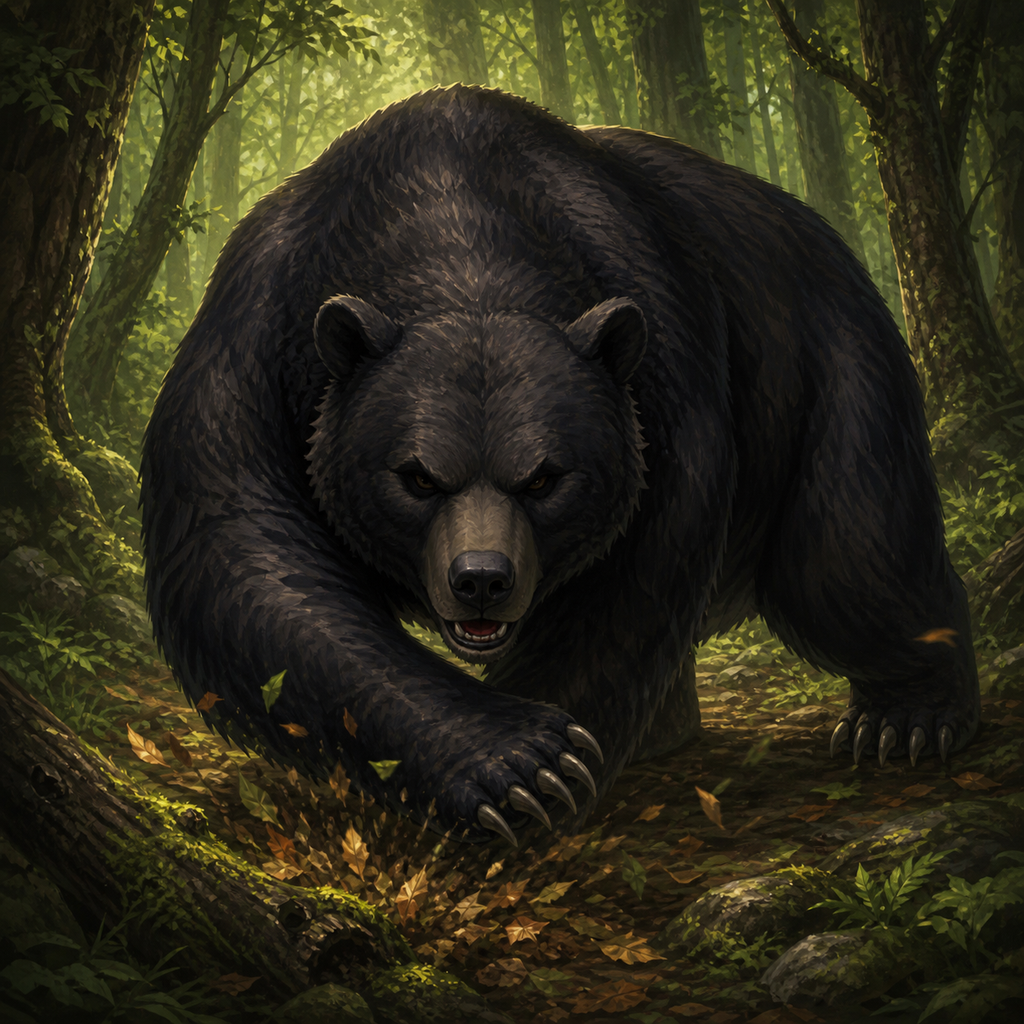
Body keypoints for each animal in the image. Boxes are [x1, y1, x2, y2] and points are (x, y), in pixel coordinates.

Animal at [140, 84, 980, 846]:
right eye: (418, 477)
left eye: (544, 478)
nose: (482, 579)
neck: (453, 237)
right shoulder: (260, 335)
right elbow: (244, 555)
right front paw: (516, 759)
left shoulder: (658, 364)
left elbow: (630, 579)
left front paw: (552, 760)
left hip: (825, 360)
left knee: (845, 555)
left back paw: (907, 717)